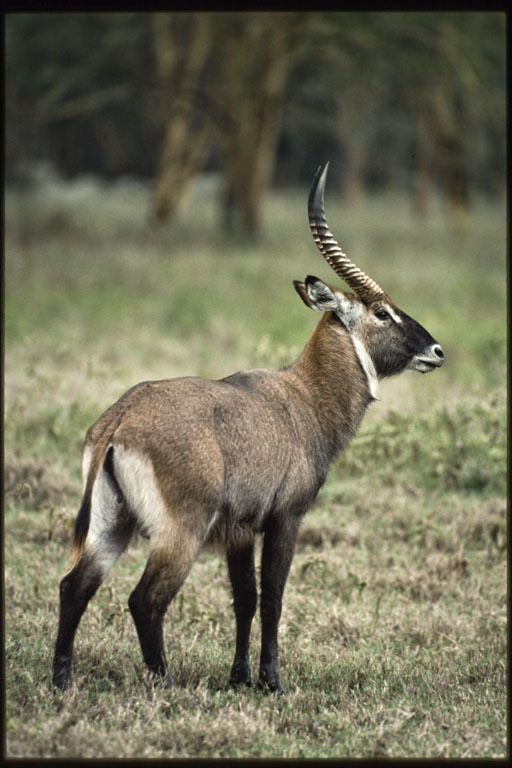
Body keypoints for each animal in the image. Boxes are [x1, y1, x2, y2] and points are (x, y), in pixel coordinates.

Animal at [53, 165, 444, 692]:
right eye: (383, 312)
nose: (437, 351)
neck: (304, 397)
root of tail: (120, 419)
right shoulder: (286, 518)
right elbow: (274, 595)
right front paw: (271, 681)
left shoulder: (238, 531)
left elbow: (245, 599)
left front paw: (239, 677)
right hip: (180, 531)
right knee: (144, 599)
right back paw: (166, 683)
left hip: (113, 522)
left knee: (75, 585)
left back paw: (63, 680)